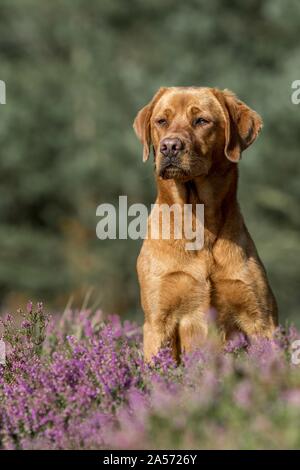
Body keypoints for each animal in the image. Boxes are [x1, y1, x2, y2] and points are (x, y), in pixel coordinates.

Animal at [132, 86, 278, 362]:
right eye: (161, 121)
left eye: (201, 121)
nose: (170, 146)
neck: (197, 221)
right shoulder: (158, 321)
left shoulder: (261, 319)